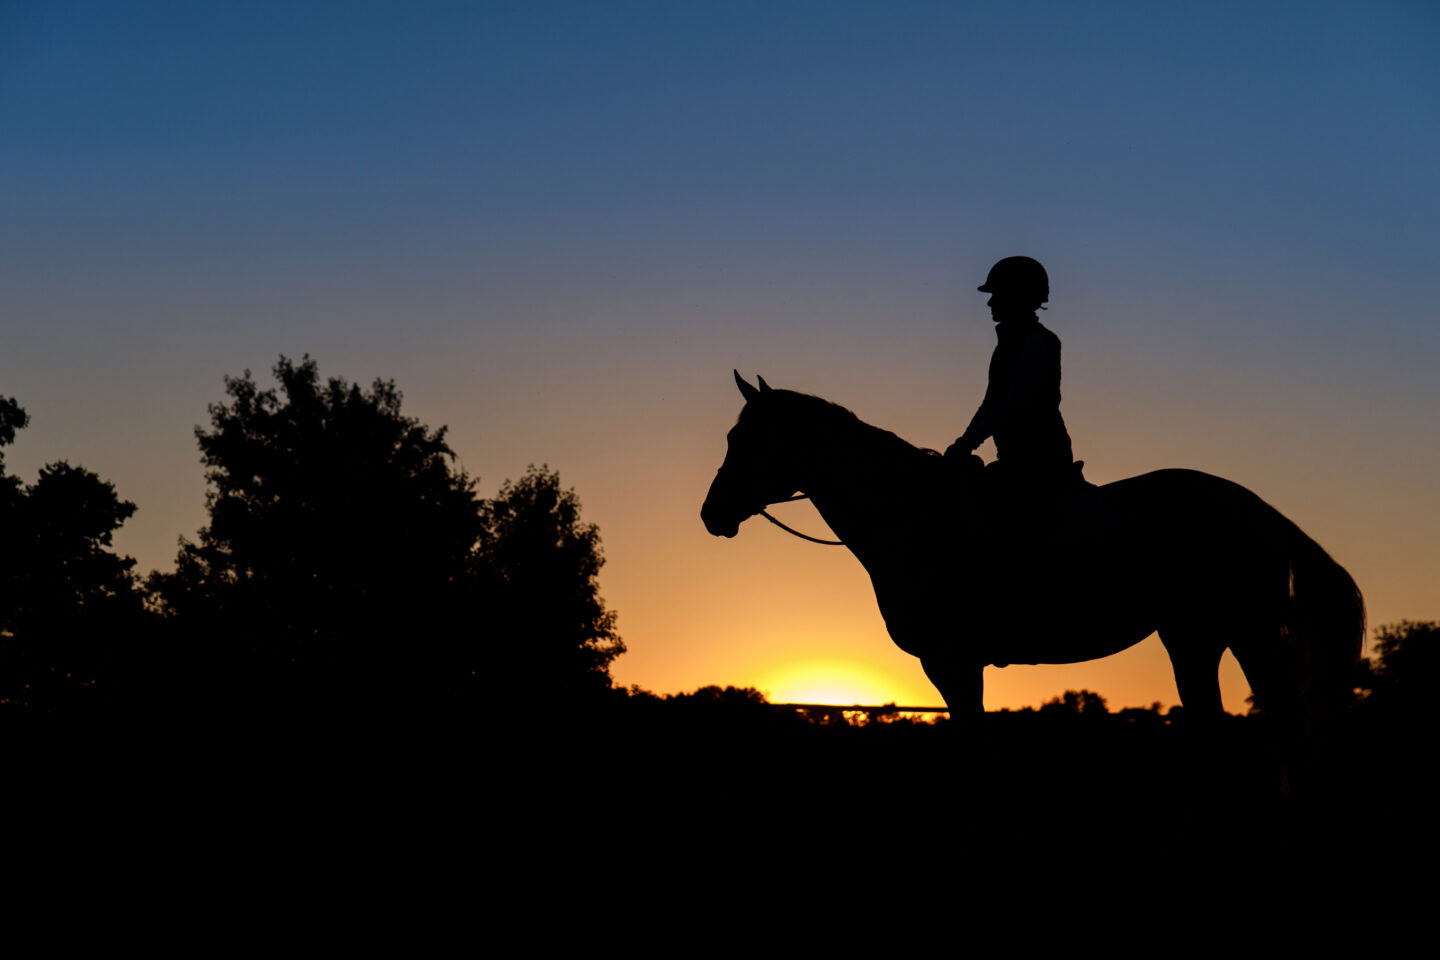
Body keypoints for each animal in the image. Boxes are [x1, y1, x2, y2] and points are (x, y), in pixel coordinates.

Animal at [702, 374, 1365, 748]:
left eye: (742, 440)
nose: (712, 514)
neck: (908, 512)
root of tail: (1260, 511)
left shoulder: (952, 658)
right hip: (1193, 638)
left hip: (1249, 633)